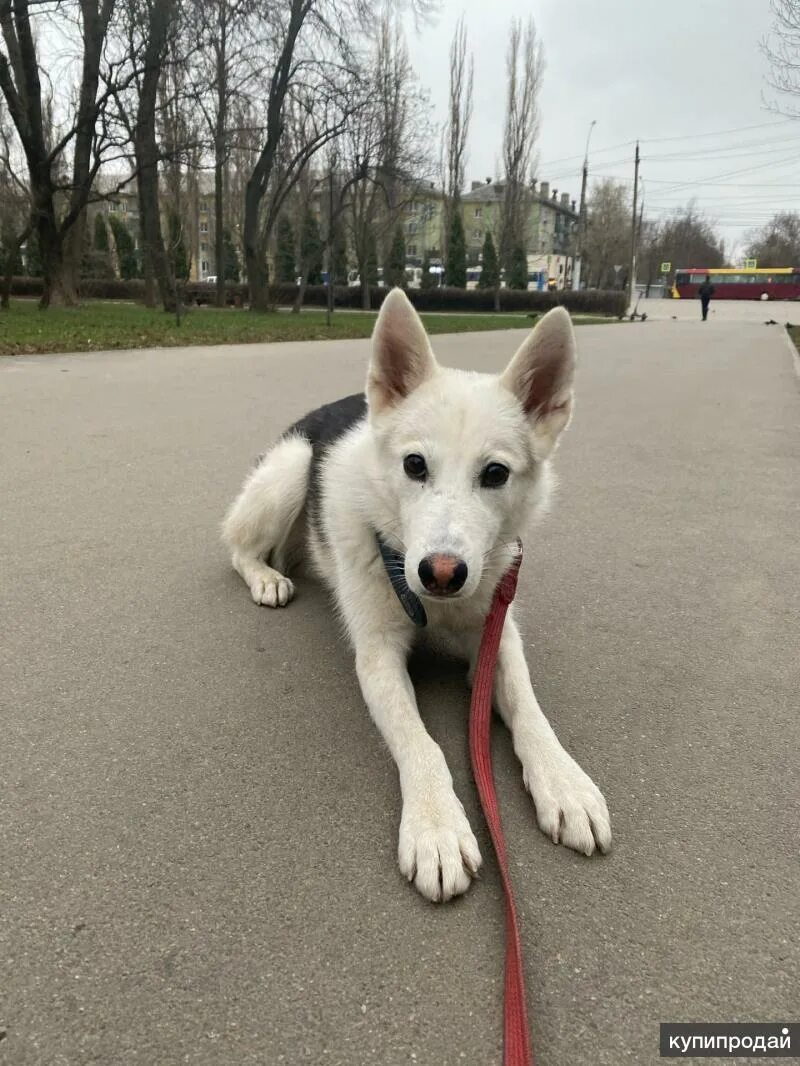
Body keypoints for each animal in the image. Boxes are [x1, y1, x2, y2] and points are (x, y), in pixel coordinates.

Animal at [222, 289, 610, 899]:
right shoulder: (378, 657)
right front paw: (436, 825)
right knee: (237, 546)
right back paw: (266, 577)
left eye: (495, 474)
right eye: (414, 465)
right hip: (289, 470)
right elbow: (419, 742)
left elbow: (530, 710)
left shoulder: (497, 637)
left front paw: (563, 781)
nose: (441, 573)